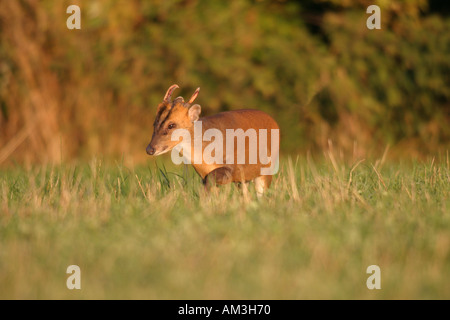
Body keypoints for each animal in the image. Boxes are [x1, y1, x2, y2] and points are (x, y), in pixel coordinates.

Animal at [146, 84, 280, 196]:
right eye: (154, 123)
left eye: (171, 125)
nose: (150, 149)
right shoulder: (205, 174)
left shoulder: (234, 167)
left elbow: (209, 182)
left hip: (266, 170)